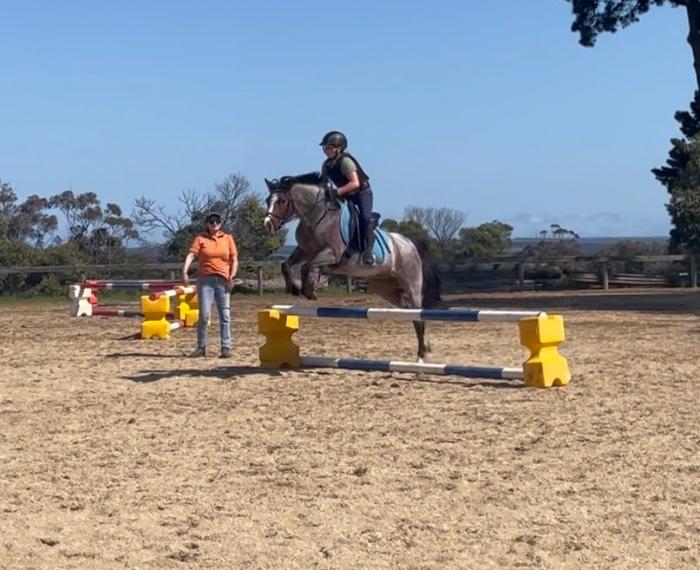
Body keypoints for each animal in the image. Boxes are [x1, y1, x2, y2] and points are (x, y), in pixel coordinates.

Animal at [263, 174, 441, 361]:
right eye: (268, 200)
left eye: (282, 201)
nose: (267, 225)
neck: (316, 217)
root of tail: (411, 244)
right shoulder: (304, 251)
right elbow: (287, 264)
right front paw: (295, 289)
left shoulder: (333, 253)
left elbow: (307, 266)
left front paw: (309, 291)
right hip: (388, 289)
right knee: (411, 314)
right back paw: (425, 348)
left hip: (412, 286)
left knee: (419, 316)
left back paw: (421, 356)